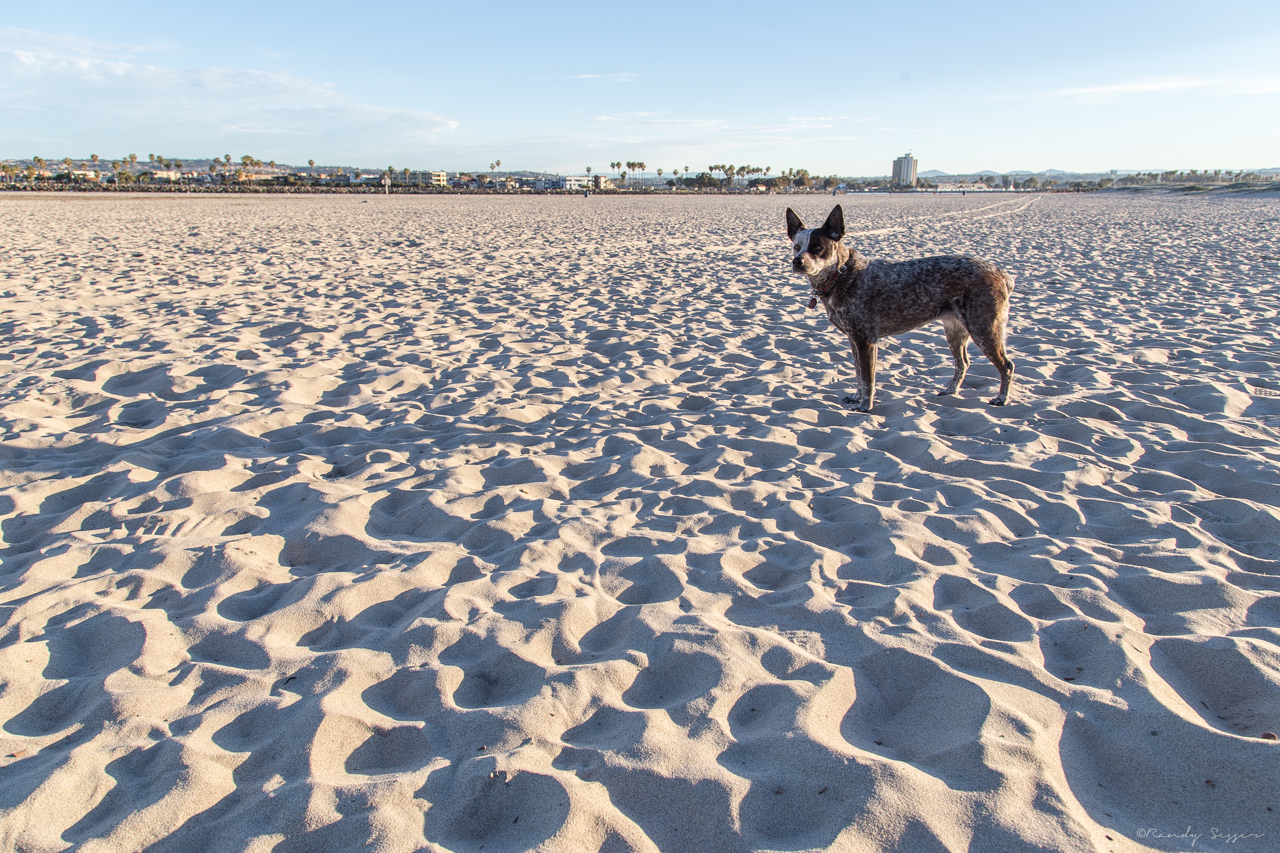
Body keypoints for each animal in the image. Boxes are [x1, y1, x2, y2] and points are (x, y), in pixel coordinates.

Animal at [783, 202, 1013, 409]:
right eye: (796, 247)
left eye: (817, 247)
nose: (797, 262)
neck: (841, 275)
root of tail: (1000, 272)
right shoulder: (854, 340)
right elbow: (858, 374)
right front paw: (857, 397)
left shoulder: (866, 340)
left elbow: (867, 379)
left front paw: (865, 406)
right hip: (955, 331)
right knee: (962, 363)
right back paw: (951, 390)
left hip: (984, 330)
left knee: (1007, 366)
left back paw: (1001, 398)